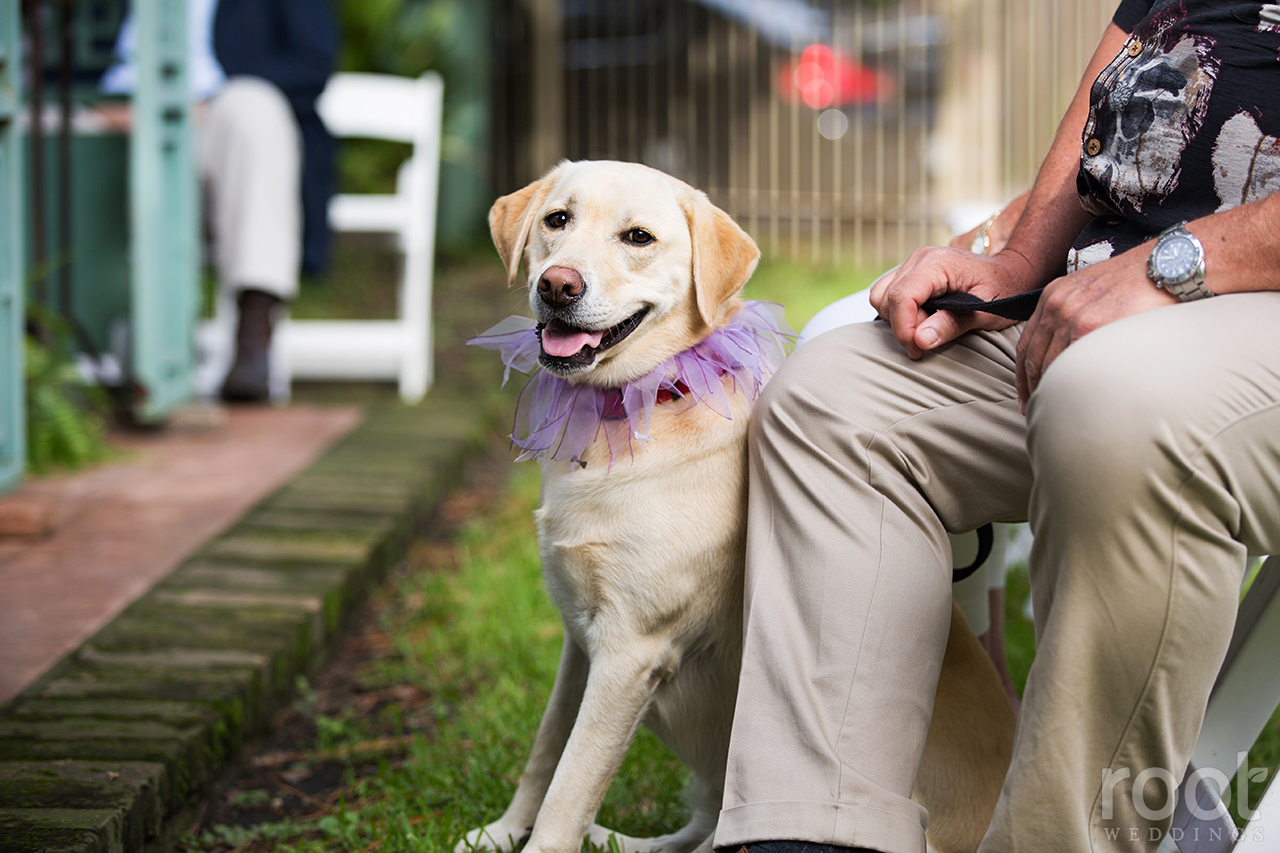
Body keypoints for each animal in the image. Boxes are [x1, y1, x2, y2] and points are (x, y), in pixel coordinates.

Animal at [458, 159, 1008, 850]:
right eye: (558, 220)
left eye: (638, 238)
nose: (557, 285)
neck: (643, 402)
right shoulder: (577, 642)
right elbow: (545, 751)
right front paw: (504, 832)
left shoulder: (629, 651)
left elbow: (569, 786)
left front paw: (538, 839)